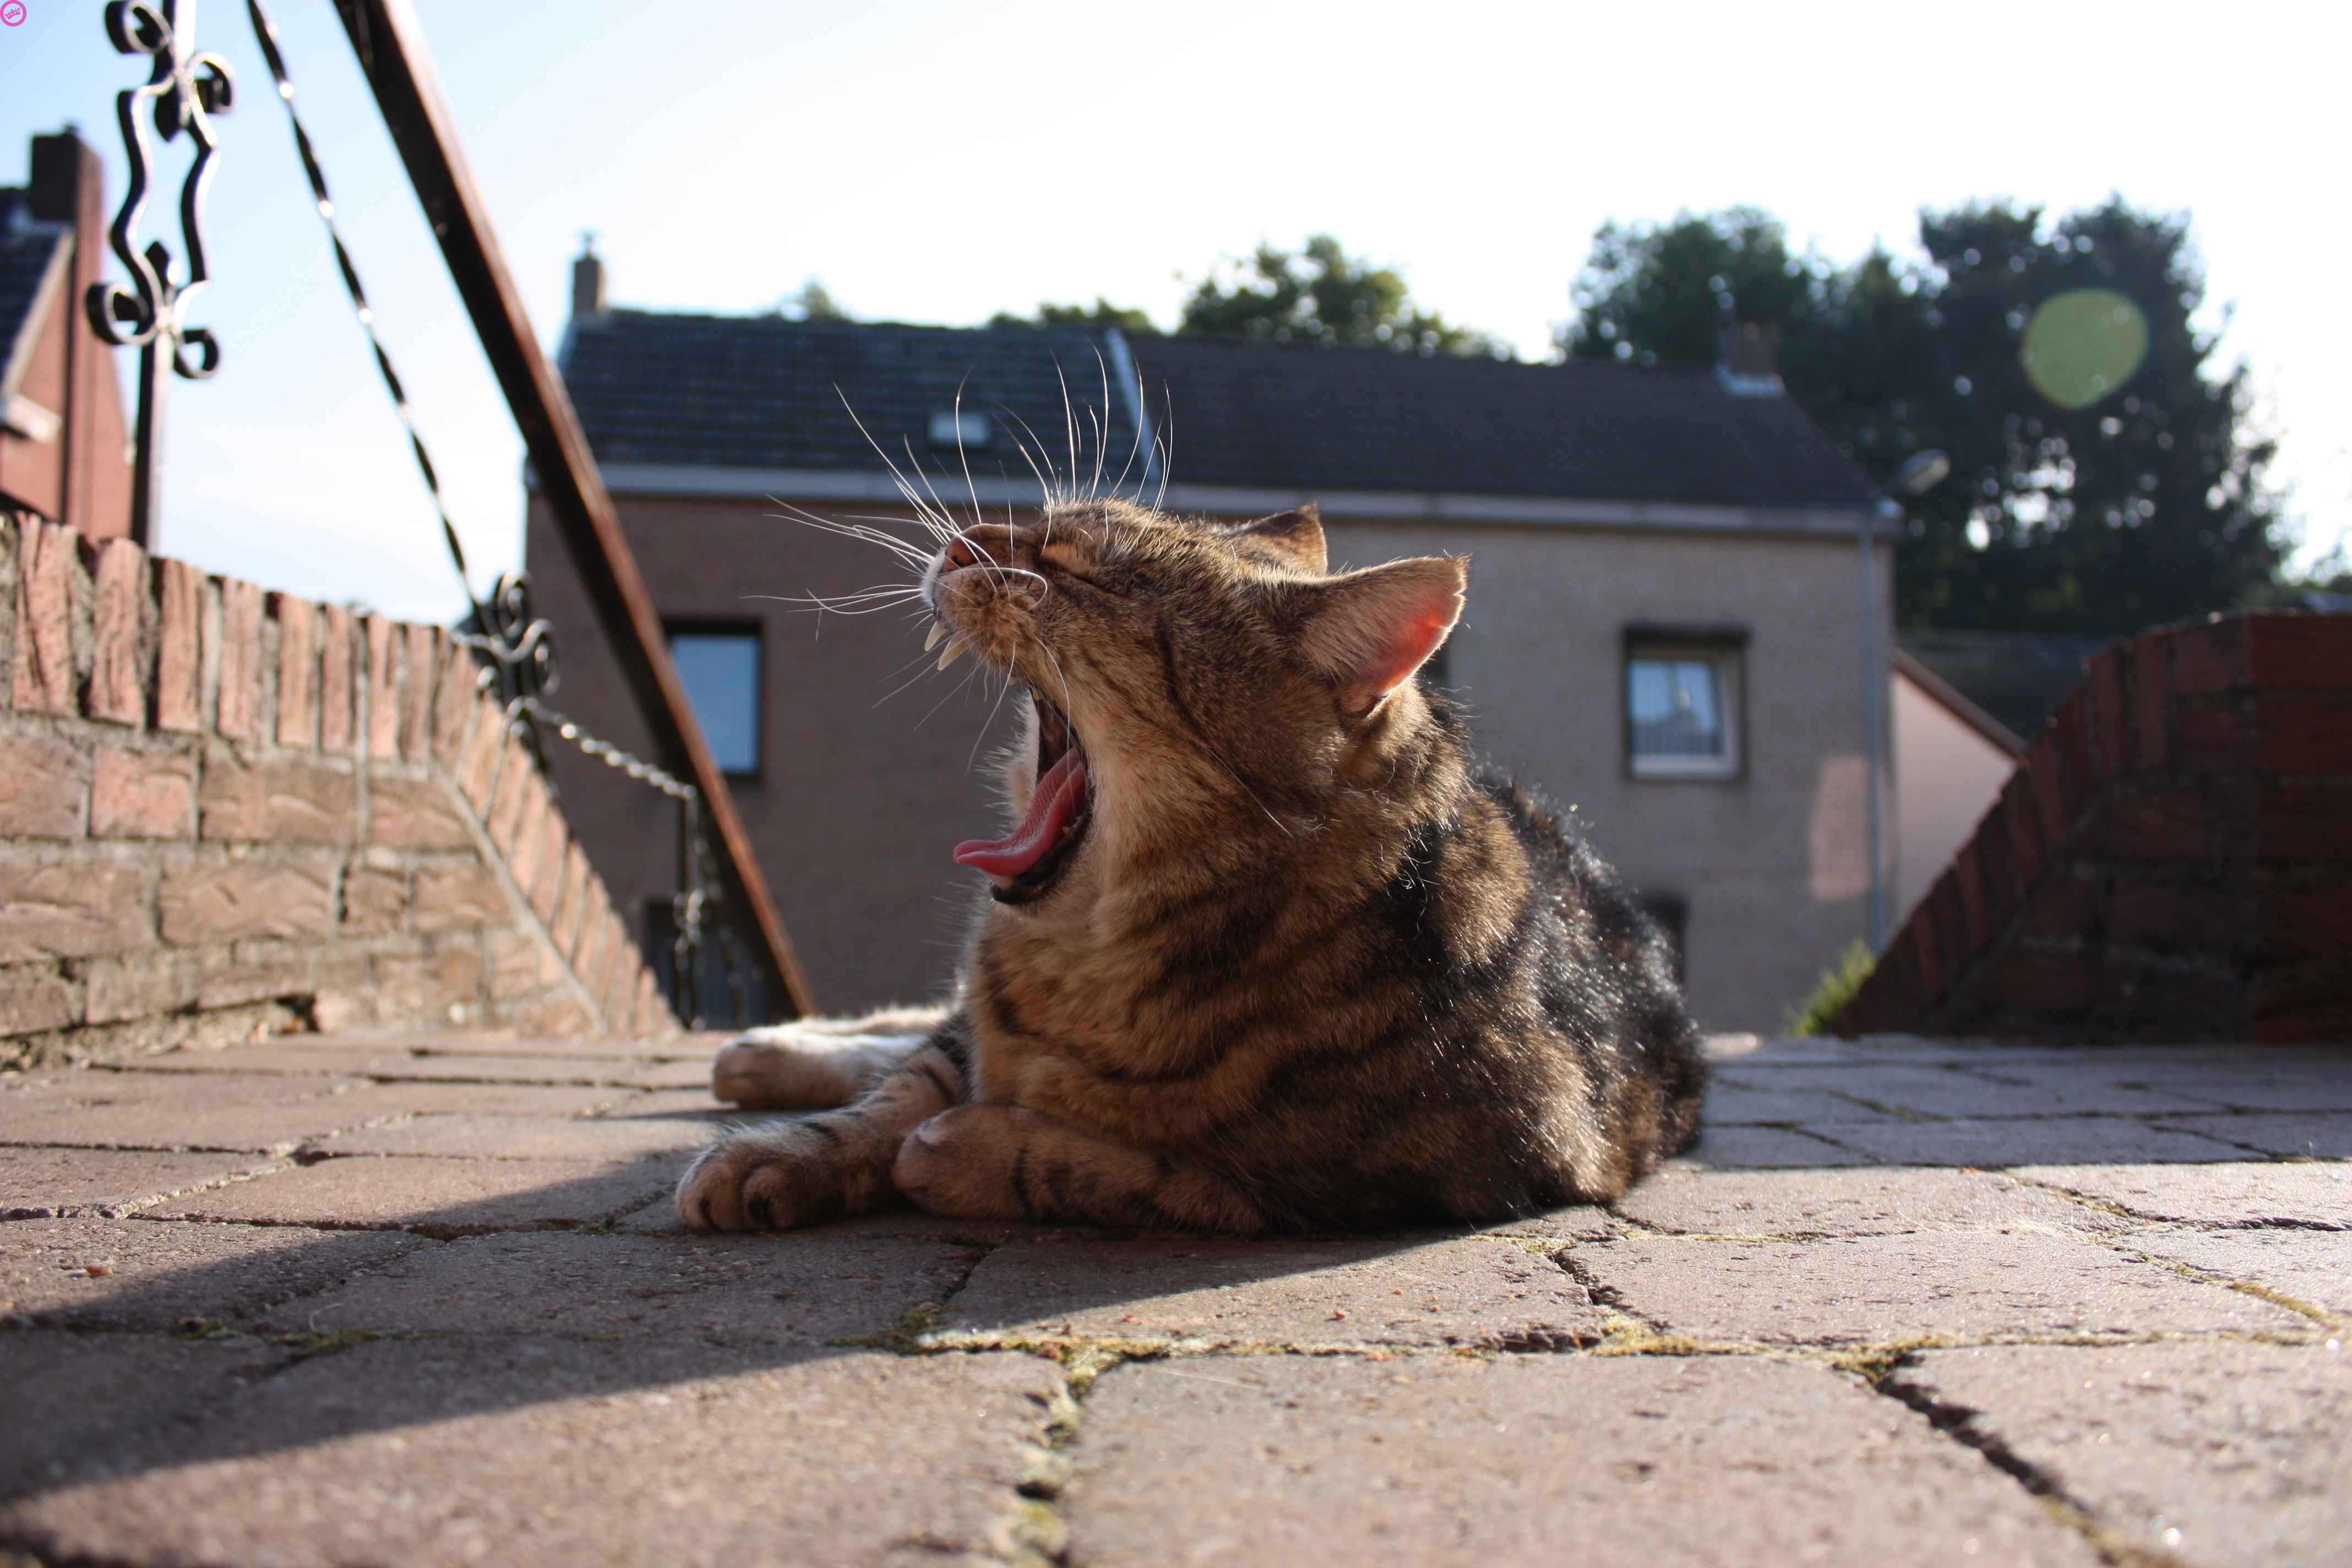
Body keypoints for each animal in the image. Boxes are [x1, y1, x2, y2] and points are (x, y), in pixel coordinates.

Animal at [672, 503, 1702, 1241]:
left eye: (1073, 570)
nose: (959, 543)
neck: (1088, 957)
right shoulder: (974, 1031)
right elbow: (902, 1088)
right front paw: (786, 1153)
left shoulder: (1434, 1172)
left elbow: (1145, 1173)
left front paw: (968, 1149)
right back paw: (764, 1052)